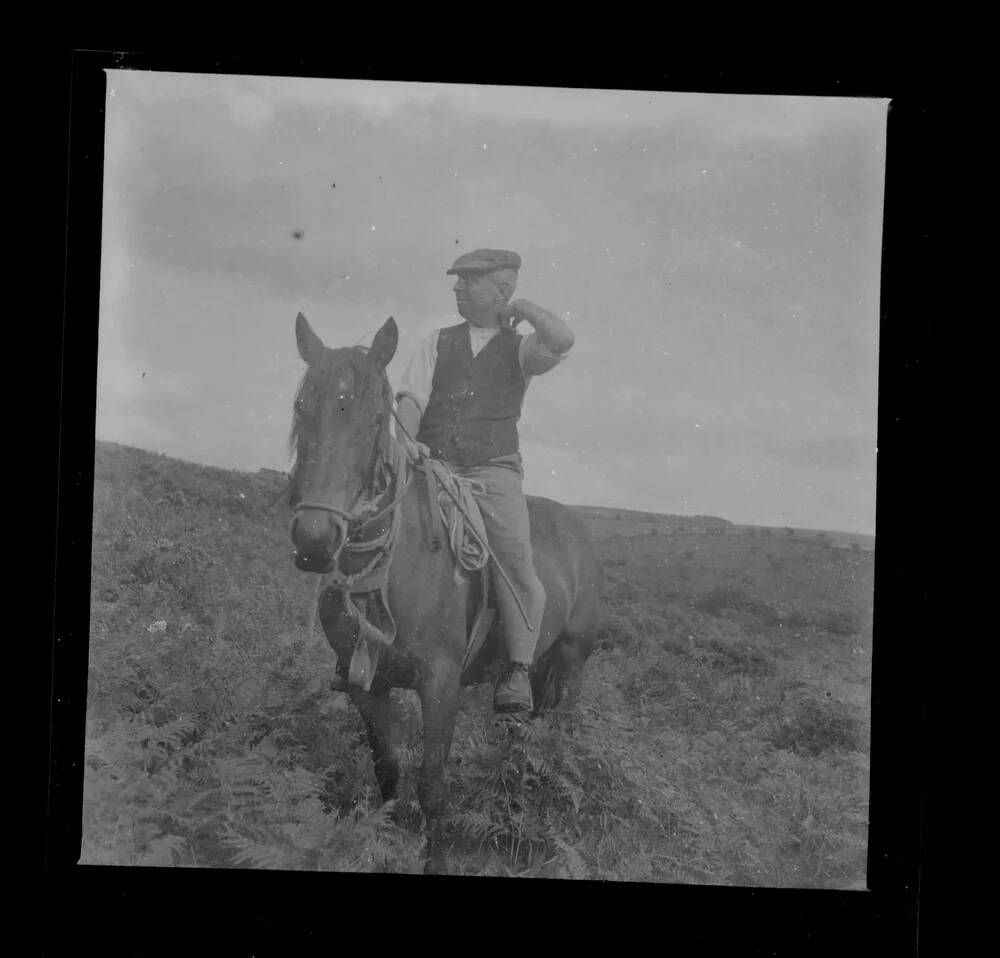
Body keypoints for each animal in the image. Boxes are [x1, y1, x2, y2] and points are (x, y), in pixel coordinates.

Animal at [288, 316, 600, 876]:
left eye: (375, 420)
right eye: (303, 408)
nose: (316, 540)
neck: (393, 568)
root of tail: (578, 526)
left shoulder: (440, 684)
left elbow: (433, 784)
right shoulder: (369, 687)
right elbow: (388, 772)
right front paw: (384, 839)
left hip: (570, 664)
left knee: (553, 742)